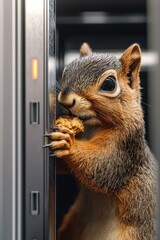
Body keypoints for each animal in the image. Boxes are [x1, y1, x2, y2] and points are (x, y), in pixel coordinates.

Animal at [45, 43, 157, 240]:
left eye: (109, 84)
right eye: (66, 71)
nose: (65, 100)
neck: (93, 127)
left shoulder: (126, 147)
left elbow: (104, 165)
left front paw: (68, 143)